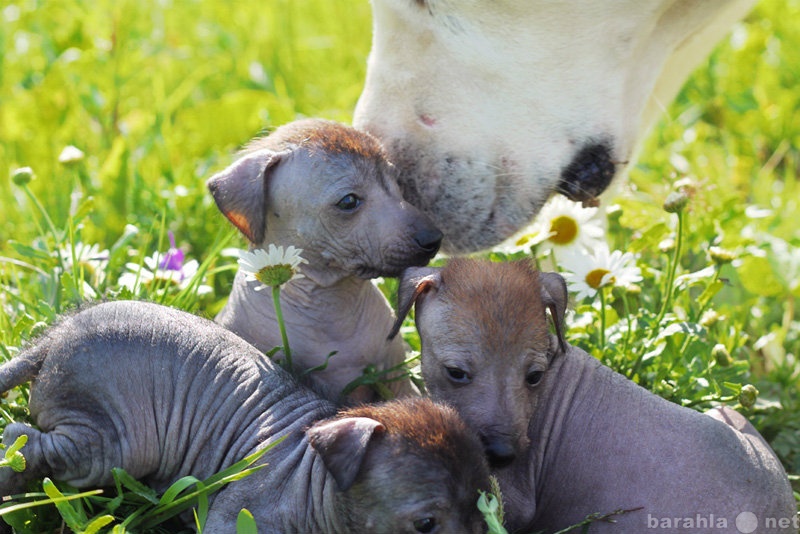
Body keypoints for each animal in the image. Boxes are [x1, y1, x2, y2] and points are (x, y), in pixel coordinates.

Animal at [0, 302, 490, 534]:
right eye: (425, 525)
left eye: (487, 510)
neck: (310, 479)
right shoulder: (237, 517)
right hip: (111, 442)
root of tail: (52, 341)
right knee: (25, 436)